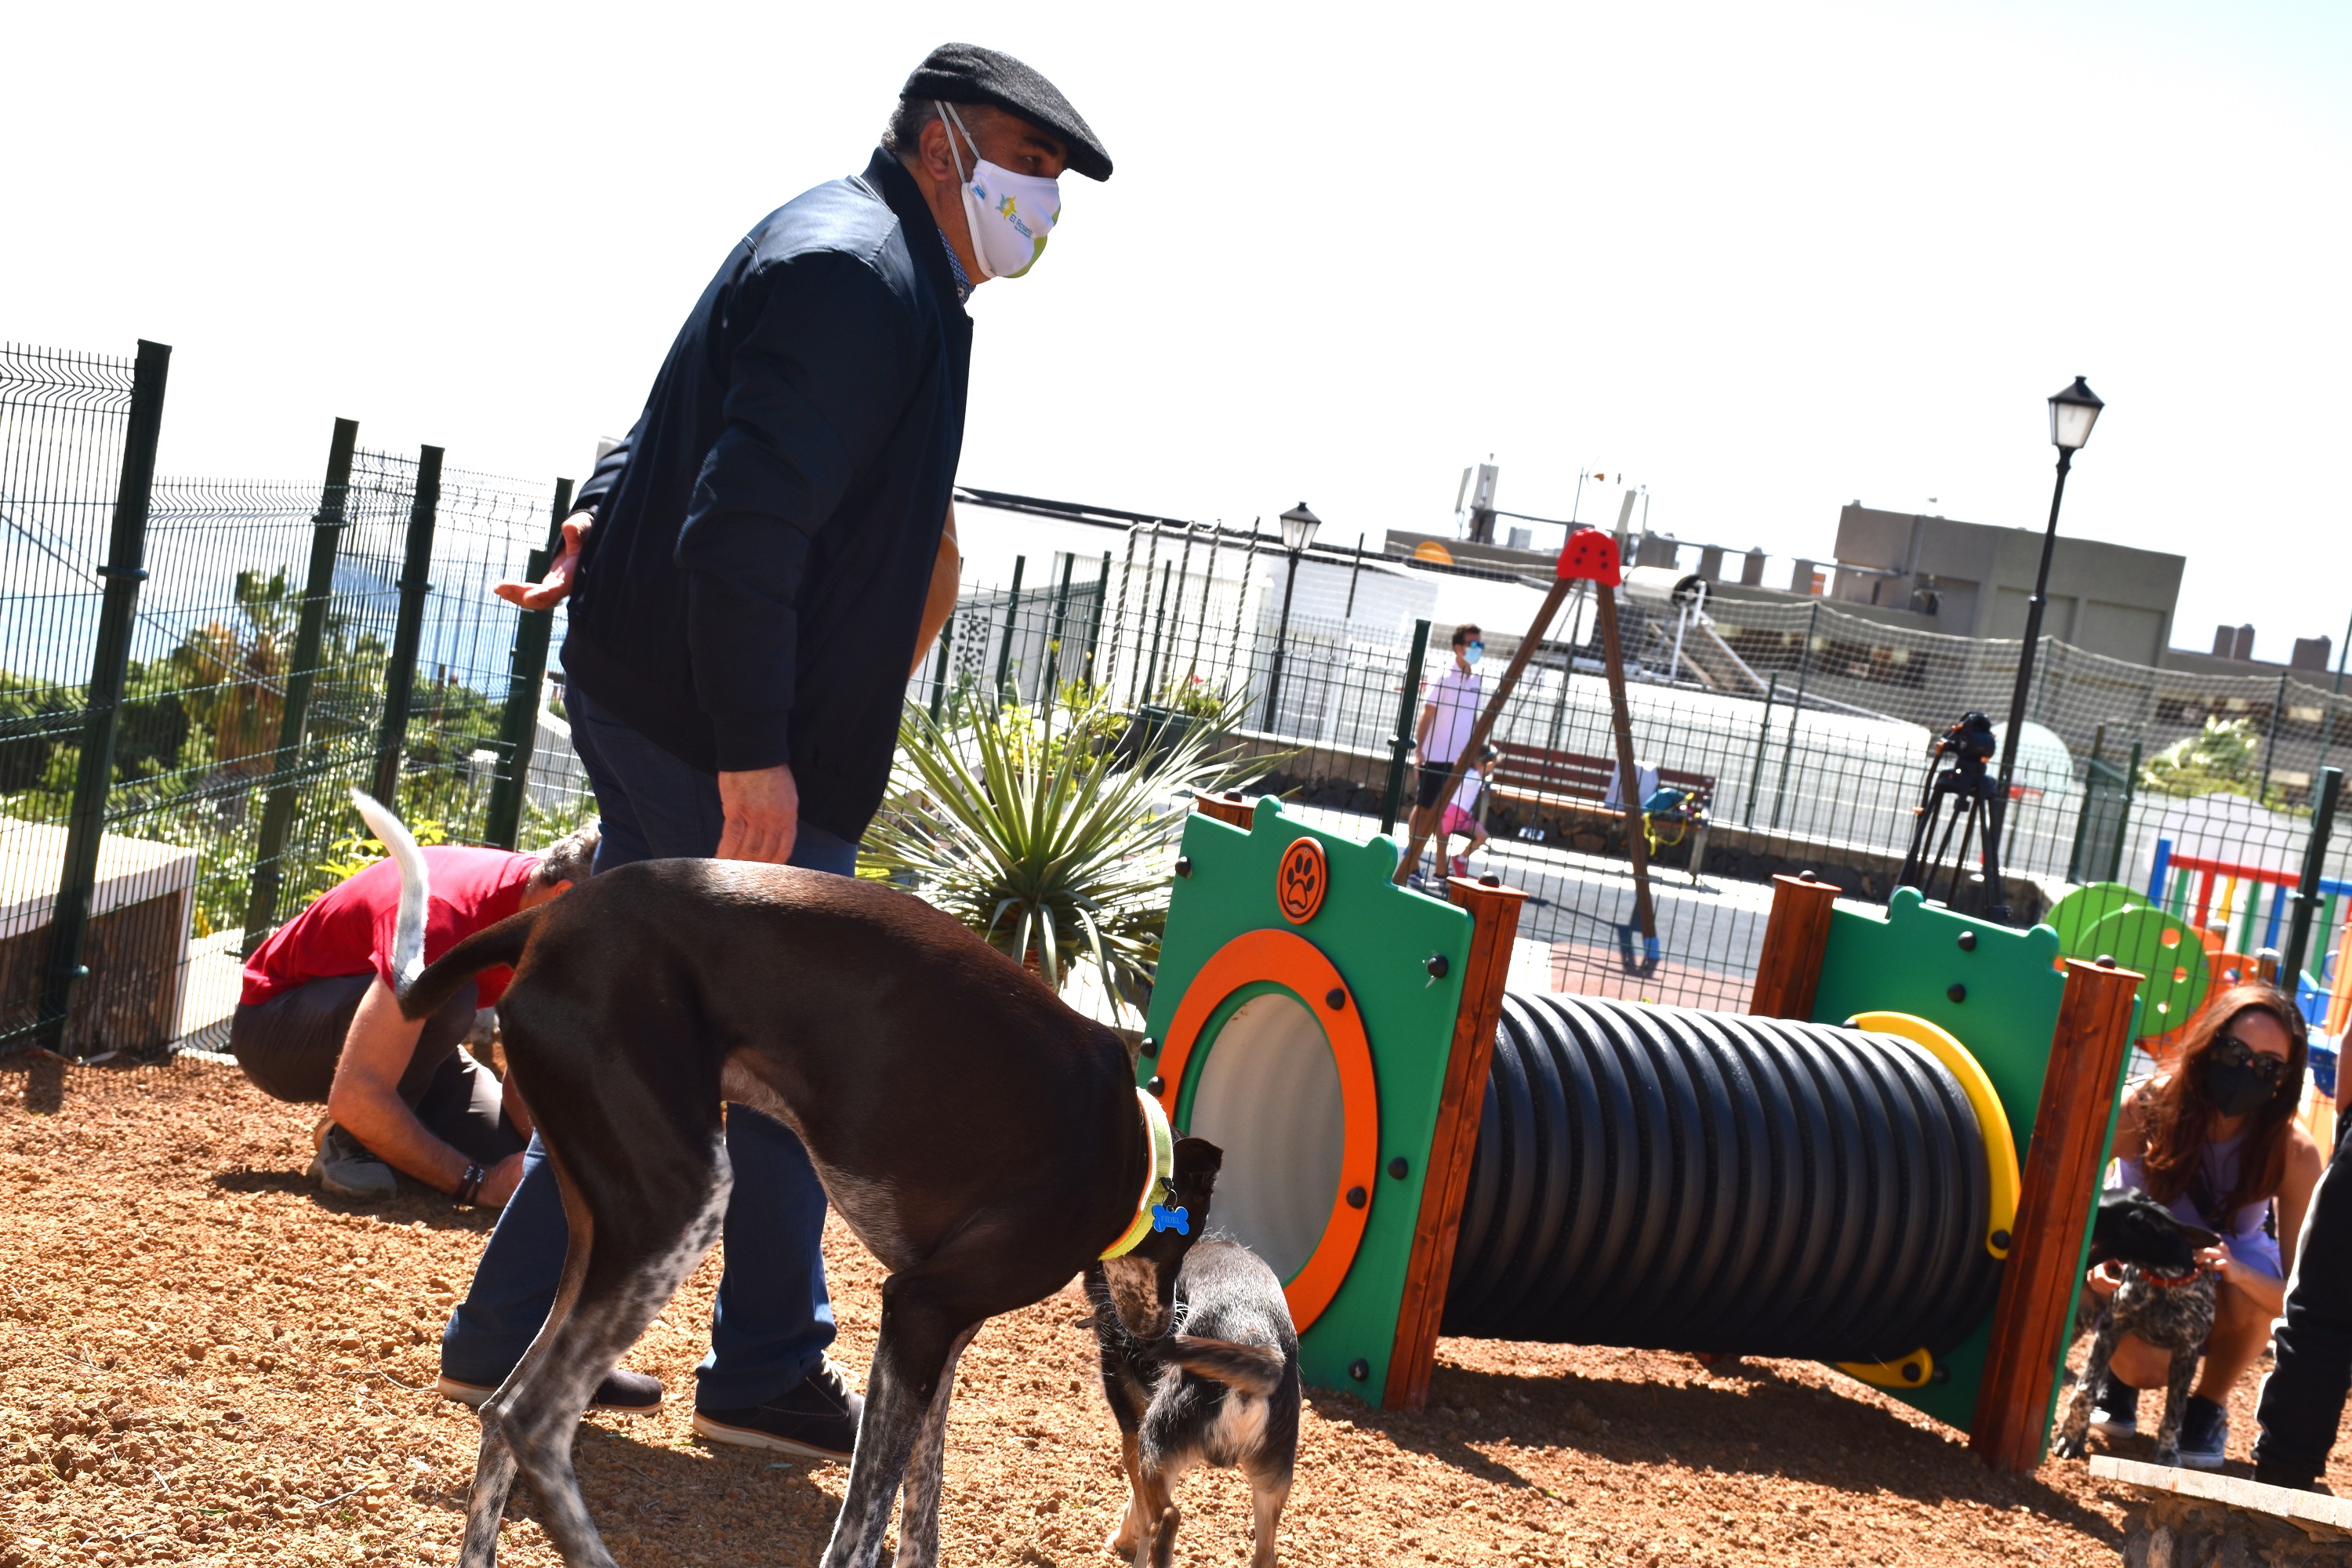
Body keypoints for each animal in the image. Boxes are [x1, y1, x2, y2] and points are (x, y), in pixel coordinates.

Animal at [362, 799, 1232, 1568]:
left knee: (499, 1410)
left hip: (602, 1227)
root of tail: (547, 922)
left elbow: (922, 1499)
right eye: (1184, 1243)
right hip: (678, 1204)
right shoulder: (920, 1308)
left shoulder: (938, 1332)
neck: (1132, 1146)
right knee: (531, 1418)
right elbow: (863, 1521)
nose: (1157, 1332)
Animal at [1087, 1241, 1308, 1568]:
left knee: (1168, 1518)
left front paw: (1127, 1540)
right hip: (1272, 1478)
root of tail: (1255, 1336)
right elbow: (1138, 1505)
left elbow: (1140, 1506)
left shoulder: (1134, 1433)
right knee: (1266, 1555)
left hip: (1155, 1441)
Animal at [2060, 1189, 2220, 1476]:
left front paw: (2168, 1455)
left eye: (2096, 1209)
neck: (2163, 1281)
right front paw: (2070, 1435)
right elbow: (2085, 1390)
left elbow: (2174, 1415)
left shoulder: (2186, 1354)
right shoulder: (2110, 1331)